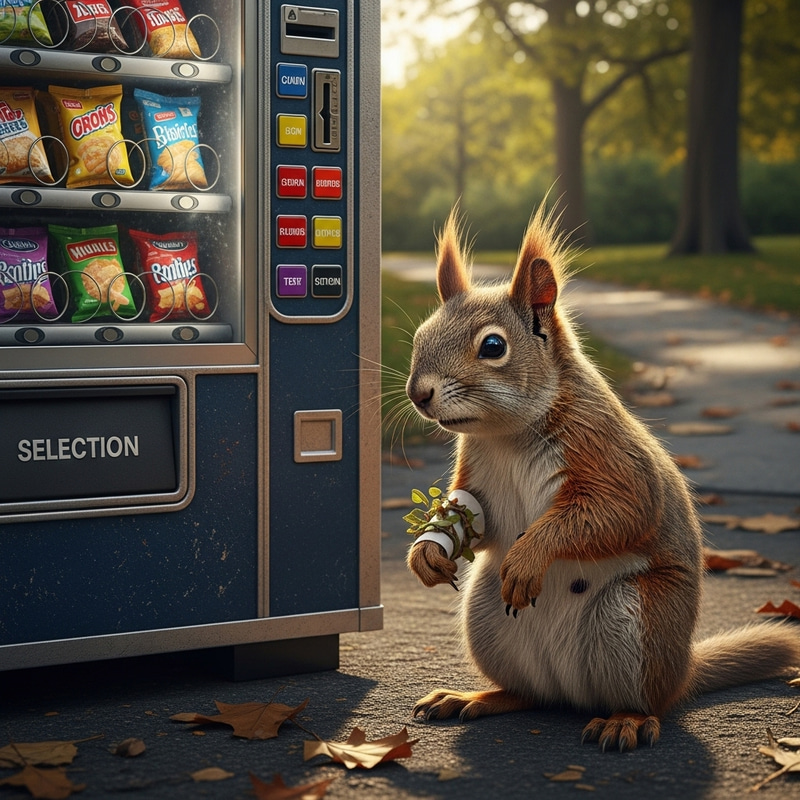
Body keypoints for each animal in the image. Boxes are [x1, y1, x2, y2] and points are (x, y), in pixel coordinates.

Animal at [405, 203, 800, 752]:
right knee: (529, 693)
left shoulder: (609, 458)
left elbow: (616, 513)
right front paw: (427, 551)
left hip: (636, 620)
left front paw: (528, 557)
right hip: (485, 619)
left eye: (493, 346)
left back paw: (625, 721)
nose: (418, 393)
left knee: (644, 701)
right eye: (420, 335)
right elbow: (474, 516)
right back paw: (476, 698)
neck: (507, 435)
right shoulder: (478, 475)